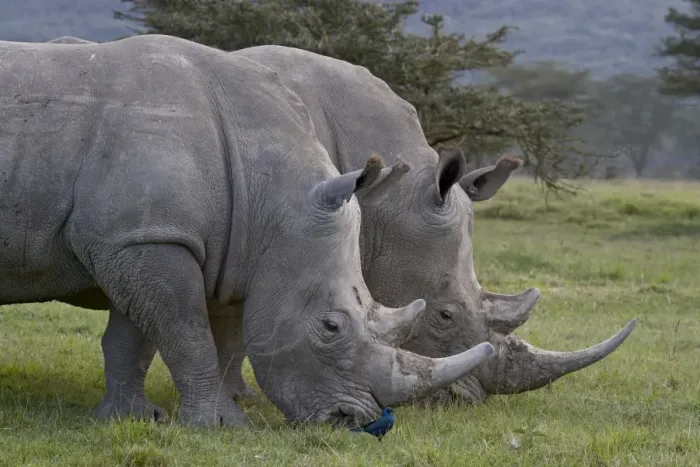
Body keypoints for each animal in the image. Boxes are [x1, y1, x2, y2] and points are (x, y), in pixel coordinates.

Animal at [0, 34, 498, 427]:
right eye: (330, 326)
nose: (351, 419)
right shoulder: (148, 238)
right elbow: (188, 332)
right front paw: (220, 425)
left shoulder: (142, 236)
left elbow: (135, 337)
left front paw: (133, 419)